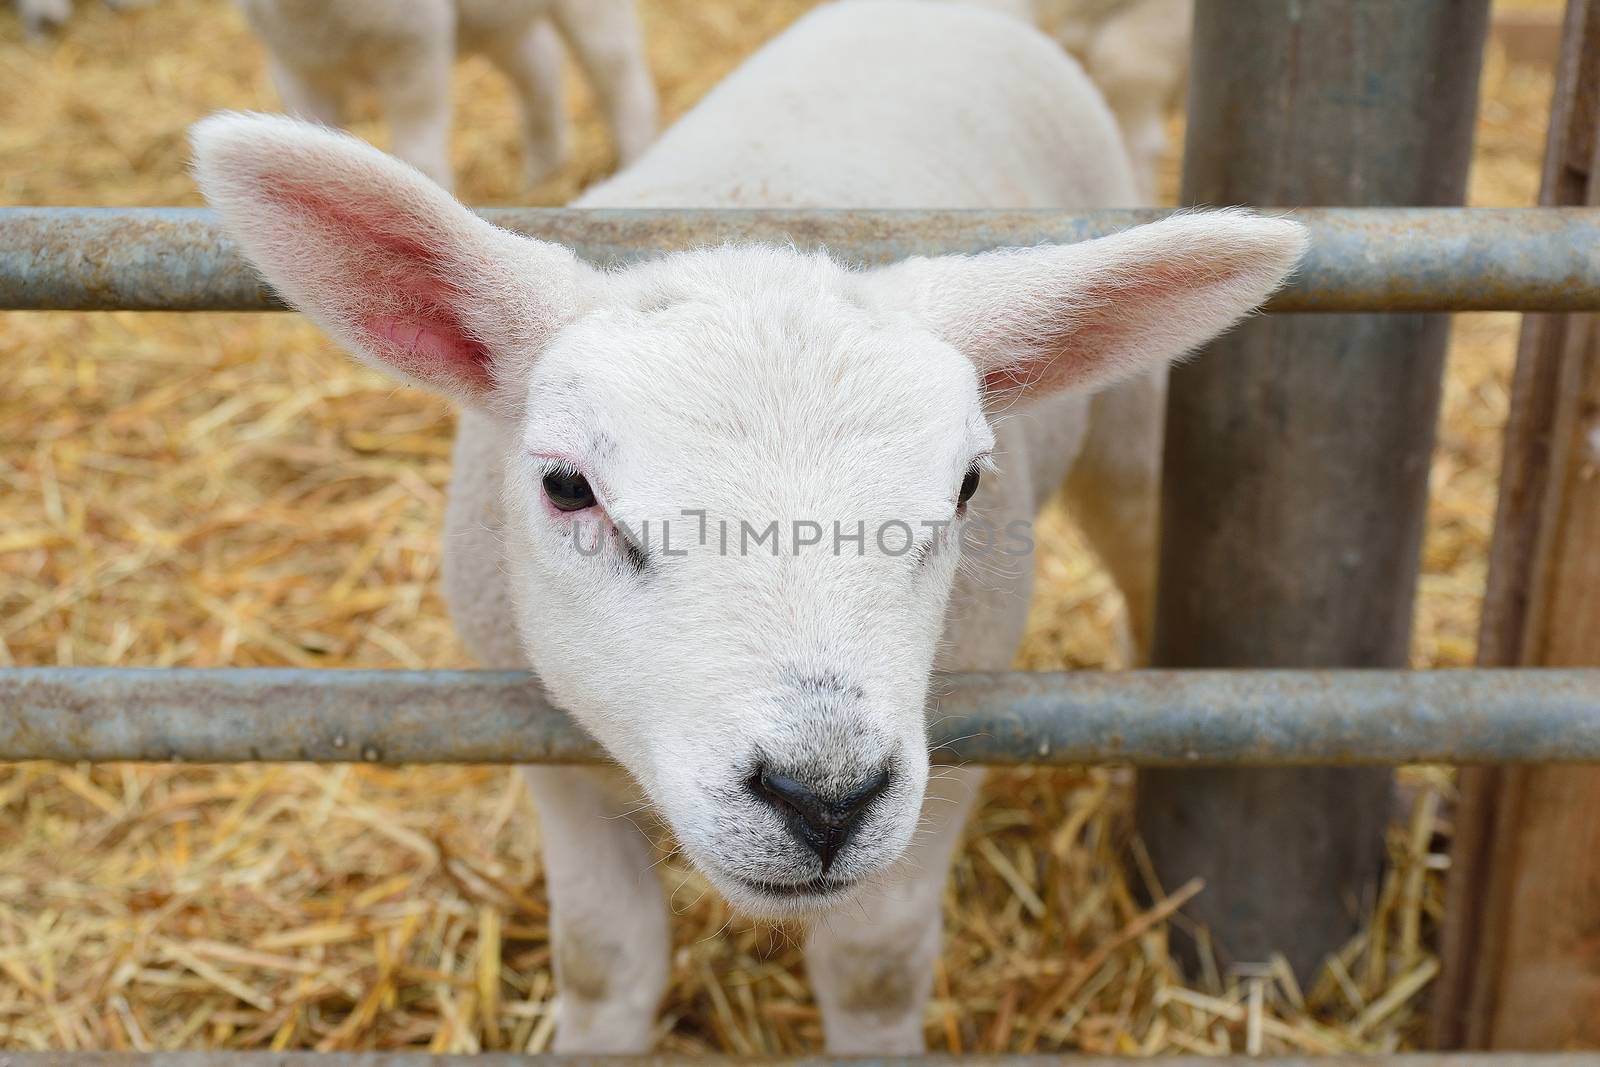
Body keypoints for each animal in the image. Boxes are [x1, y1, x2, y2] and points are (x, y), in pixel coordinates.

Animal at [233, 0, 656, 189]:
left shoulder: (416, 46)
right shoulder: (295, 65)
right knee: (541, 62)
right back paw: (541, 173)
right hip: (498, 24)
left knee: (622, 79)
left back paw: (635, 162)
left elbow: (418, 149)